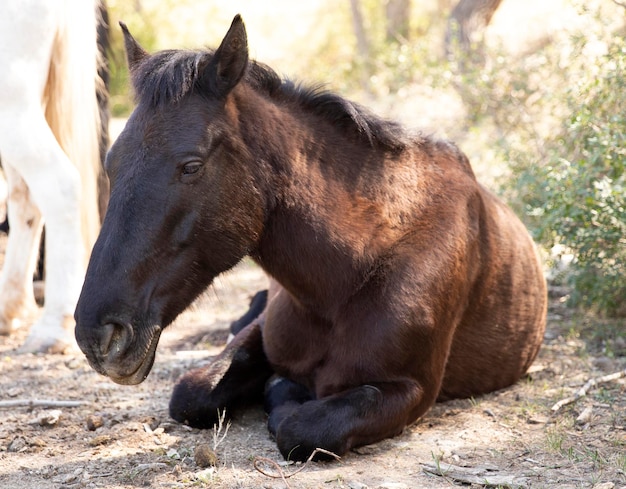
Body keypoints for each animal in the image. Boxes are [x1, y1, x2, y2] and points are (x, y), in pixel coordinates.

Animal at [73, 15, 544, 462]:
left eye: (191, 166)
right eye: (112, 162)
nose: (97, 337)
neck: (349, 278)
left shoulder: (410, 389)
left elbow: (302, 428)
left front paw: (282, 394)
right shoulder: (259, 333)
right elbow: (192, 394)